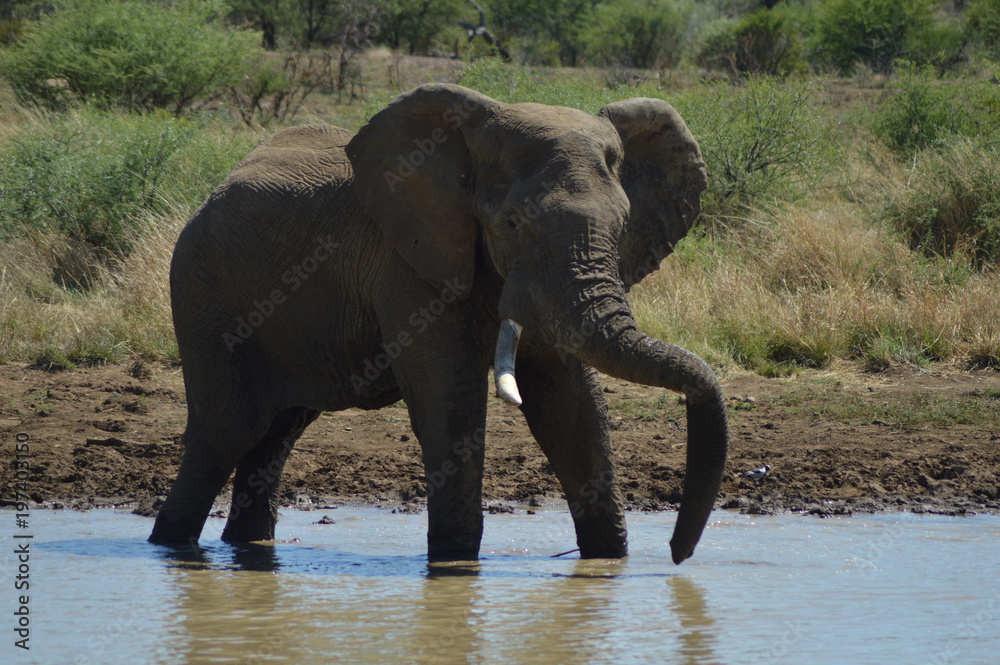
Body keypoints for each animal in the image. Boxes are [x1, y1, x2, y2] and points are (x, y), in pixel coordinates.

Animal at [148, 80, 728, 564]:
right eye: (512, 224)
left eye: (623, 224)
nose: (678, 554)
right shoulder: (407, 263)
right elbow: (450, 402)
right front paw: (454, 565)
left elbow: (573, 408)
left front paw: (609, 563)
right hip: (203, 291)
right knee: (225, 431)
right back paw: (171, 545)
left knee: (276, 433)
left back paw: (247, 548)